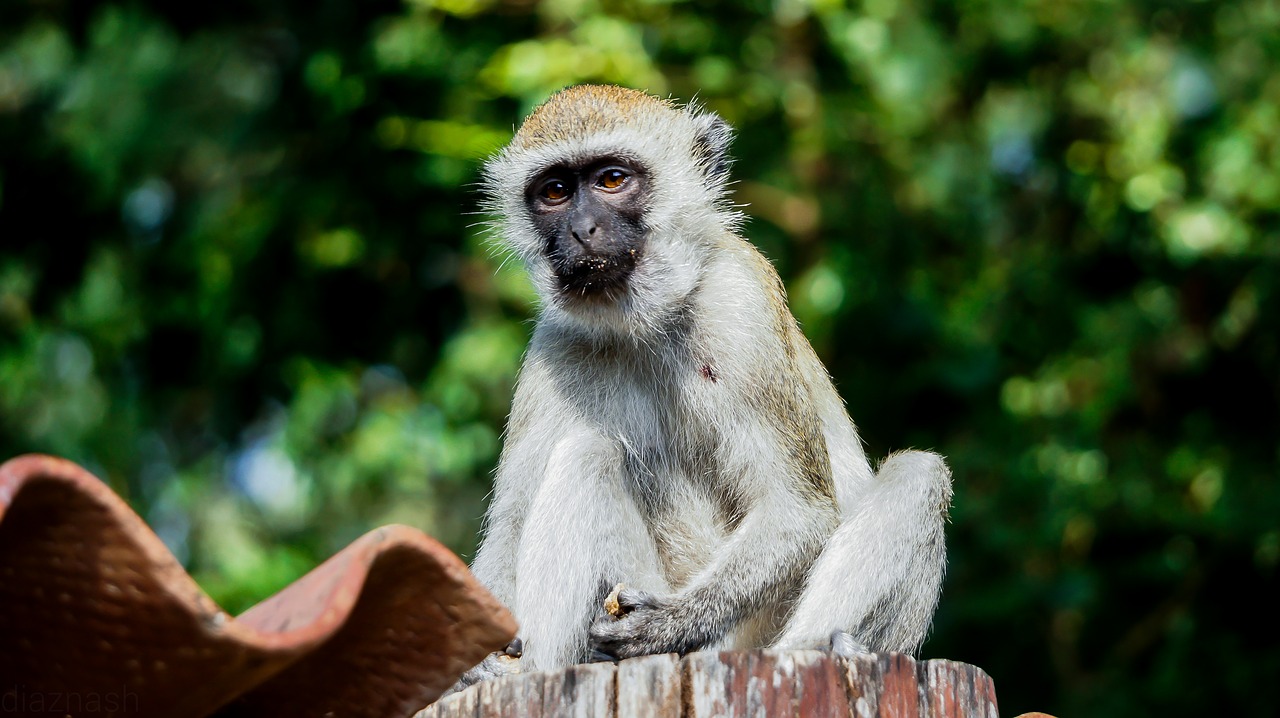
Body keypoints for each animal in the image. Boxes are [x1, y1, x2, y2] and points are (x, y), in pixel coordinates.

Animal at [460, 85, 952, 680]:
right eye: (554, 191)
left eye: (611, 180)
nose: (580, 231)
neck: (646, 322)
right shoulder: (553, 345)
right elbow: (509, 530)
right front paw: (471, 664)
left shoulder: (740, 303)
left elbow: (798, 511)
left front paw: (665, 624)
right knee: (584, 456)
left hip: (745, 636)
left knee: (919, 474)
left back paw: (820, 647)